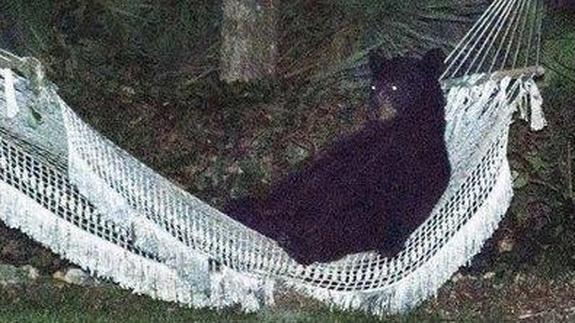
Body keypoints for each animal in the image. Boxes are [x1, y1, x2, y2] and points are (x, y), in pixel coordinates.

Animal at [223, 48, 452, 266]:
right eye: (373, 87)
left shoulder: (402, 160)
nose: (373, 110)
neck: (403, 125)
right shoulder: (352, 149)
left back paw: (294, 241)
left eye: (395, 87)